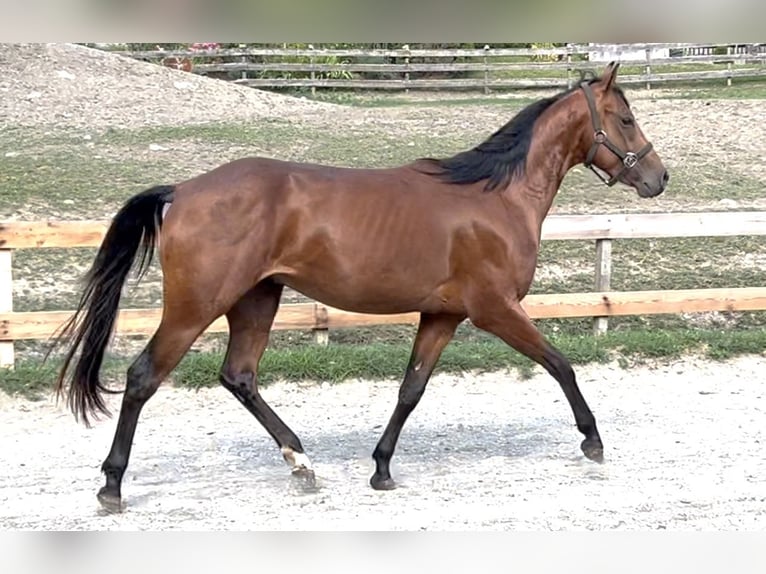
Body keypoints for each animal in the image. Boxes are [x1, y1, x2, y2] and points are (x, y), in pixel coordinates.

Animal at [52, 62, 668, 512]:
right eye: (626, 118)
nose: (659, 178)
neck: (495, 198)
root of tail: (182, 190)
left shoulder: (443, 315)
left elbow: (410, 390)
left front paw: (381, 468)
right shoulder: (495, 308)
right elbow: (561, 364)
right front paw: (592, 441)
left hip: (257, 299)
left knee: (239, 376)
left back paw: (302, 464)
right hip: (196, 305)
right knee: (142, 378)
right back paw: (111, 486)